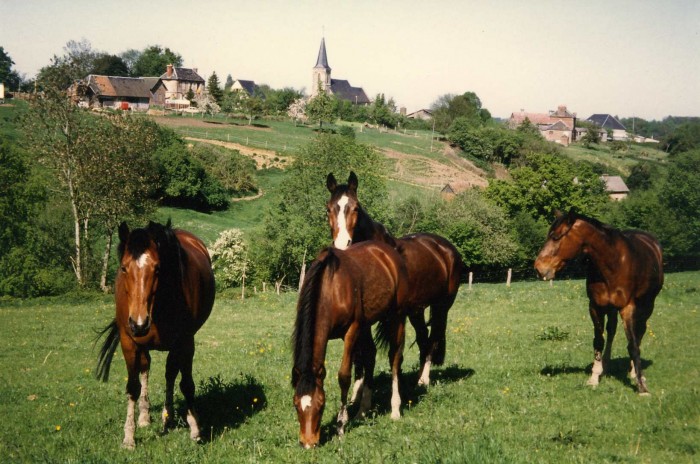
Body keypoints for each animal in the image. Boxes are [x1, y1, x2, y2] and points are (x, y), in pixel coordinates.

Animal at [95, 222, 215, 450]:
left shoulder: (185, 341)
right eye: (123, 268)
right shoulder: (129, 342)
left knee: (169, 374)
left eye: (158, 268)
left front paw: (195, 429)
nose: (139, 323)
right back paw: (144, 416)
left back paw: (168, 415)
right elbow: (133, 387)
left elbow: (186, 384)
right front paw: (129, 437)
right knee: (146, 368)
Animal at [292, 243, 410, 450]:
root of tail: (390, 253)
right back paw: (362, 411)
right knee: (371, 355)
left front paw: (340, 426)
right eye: (296, 405)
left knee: (395, 358)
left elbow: (344, 376)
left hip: (397, 316)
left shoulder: (351, 330)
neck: (330, 289)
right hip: (367, 325)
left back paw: (395, 409)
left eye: (321, 404)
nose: (308, 443)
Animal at [326, 172, 464, 386]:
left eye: (355, 207)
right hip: (417, 310)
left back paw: (424, 380)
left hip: (442, 306)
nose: (342, 244)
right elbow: (362, 354)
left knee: (433, 340)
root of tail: (446, 248)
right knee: (423, 338)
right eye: (329, 208)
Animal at [532, 210, 664, 396]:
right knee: (612, 331)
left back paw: (633, 371)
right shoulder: (595, 307)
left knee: (639, 333)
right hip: (611, 309)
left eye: (556, 237)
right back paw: (606, 366)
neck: (612, 263)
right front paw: (595, 376)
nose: (538, 268)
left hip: (647, 305)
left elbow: (632, 344)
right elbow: (599, 341)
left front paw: (641, 386)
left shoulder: (627, 308)